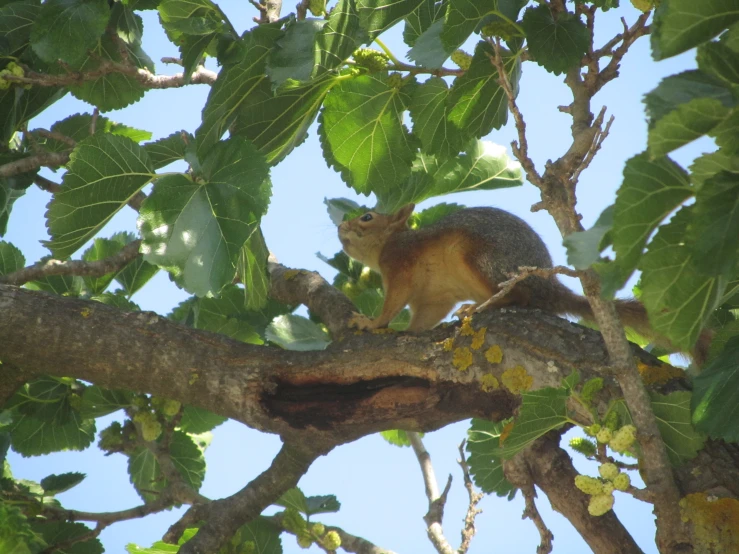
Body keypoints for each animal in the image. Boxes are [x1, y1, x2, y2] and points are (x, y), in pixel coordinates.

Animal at [340, 203, 712, 362]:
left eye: (367, 217)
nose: (341, 226)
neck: (390, 243)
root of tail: (550, 288)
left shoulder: (400, 267)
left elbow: (392, 304)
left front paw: (370, 322)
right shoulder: (433, 298)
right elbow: (423, 318)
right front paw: (412, 332)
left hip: (482, 259)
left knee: (518, 297)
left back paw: (478, 307)